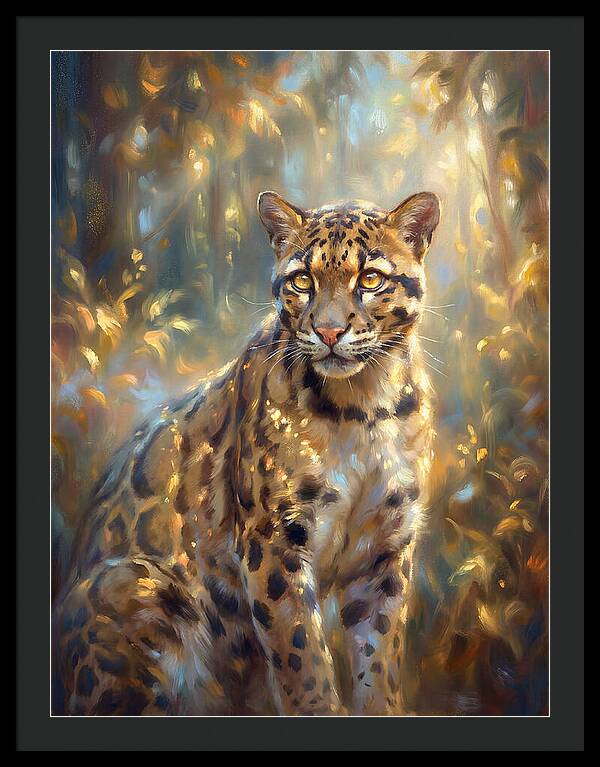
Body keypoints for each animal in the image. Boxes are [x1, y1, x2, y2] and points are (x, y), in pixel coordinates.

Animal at [53, 189, 440, 716]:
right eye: (302, 280)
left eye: (370, 279)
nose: (329, 332)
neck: (364, 408)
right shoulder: (274, 543)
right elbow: (302, 661)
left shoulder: (385, 550)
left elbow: (378, 661)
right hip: (136, 583)